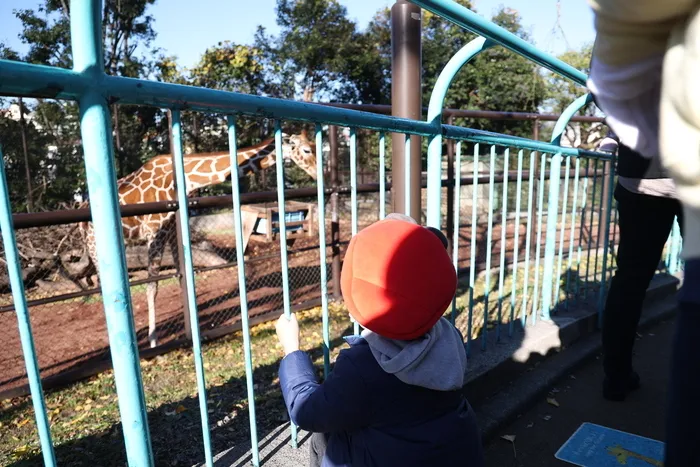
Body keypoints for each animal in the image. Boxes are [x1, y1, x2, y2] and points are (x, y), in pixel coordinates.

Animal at [78, 131, 316, 348]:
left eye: (314, 145)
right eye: (306, 150)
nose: (316, 173)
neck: (183, 180)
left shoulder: (171, 229)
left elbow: (183, 277)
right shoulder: (155, 231)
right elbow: (152, 286)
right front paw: (154, 341)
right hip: (94, 245)